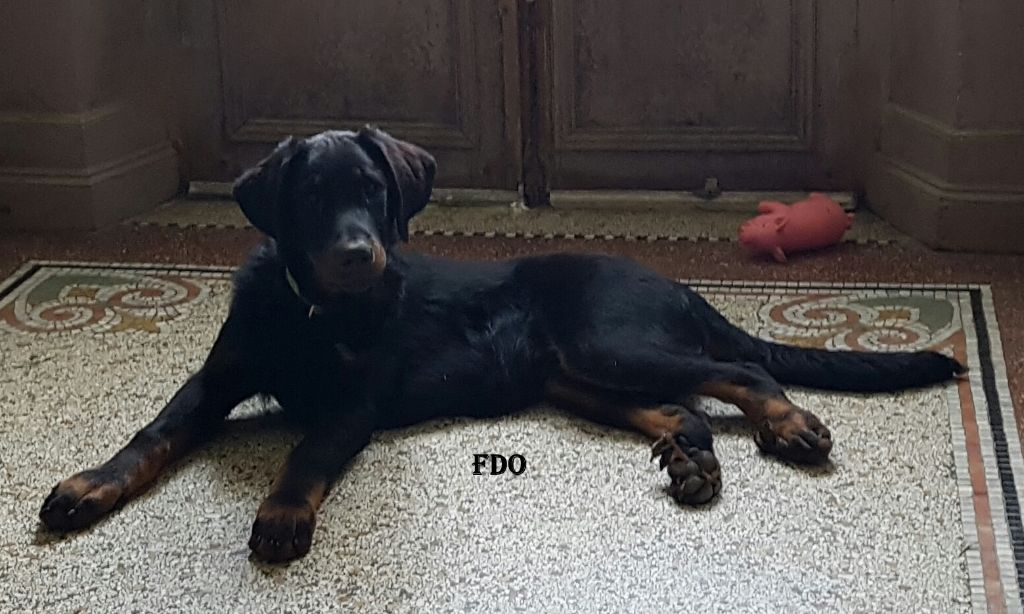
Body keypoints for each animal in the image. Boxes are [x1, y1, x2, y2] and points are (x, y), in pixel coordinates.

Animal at [39, 127, 965, 562]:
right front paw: (87, 487)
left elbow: (304, 454)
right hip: (574, 377)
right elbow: (151, 435)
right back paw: (692, 464)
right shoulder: (216, 378)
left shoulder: (354, 403)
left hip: (609, 343)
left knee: (736, 368)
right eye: (308, 198)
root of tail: (675, 283)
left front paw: (280, 516)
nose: (360, 253)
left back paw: (790, 426)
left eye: (374, 193)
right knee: (678, 408)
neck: (311, 312)